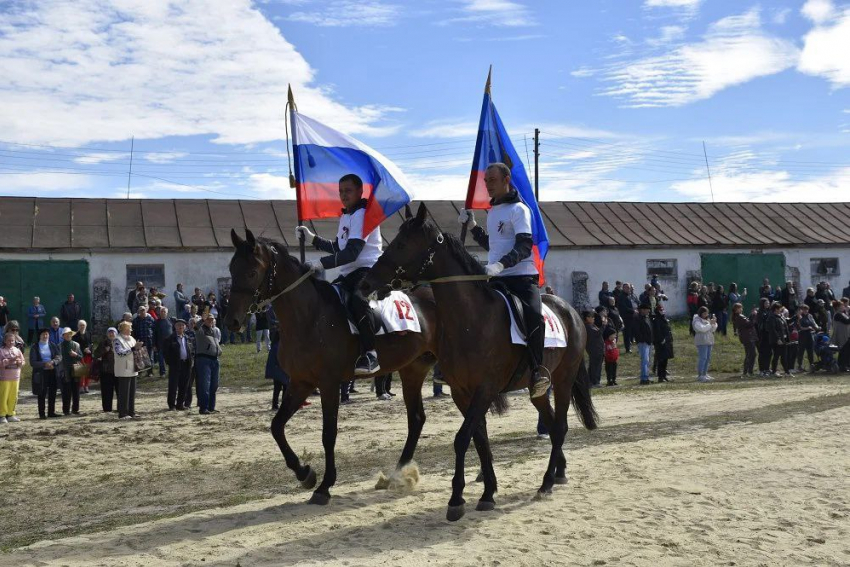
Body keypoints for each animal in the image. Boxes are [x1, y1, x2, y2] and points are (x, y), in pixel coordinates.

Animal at [224, 230, 438, 506]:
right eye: (232, 269)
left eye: (251, 272)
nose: (232, 321)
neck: (309, 316)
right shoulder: (300, 383)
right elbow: (276, 426)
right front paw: (305, 474)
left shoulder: (328, 385)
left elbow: (328, 434)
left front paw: (324, 486)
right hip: (413, 370)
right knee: (417, 419)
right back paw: (398, 475)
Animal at [358, 204, 596, 524]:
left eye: (402, 244)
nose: (366, 283)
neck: (472, 319)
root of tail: (570, 310)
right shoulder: (463, 392)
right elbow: (479, 439)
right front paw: (487, 492)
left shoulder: (485, 389)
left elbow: (462, 439)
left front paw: (457, 499)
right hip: (536, 391)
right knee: (550, 423)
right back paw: (558, 472)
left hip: (562, 380)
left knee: (559, 427)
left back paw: (546, 483)